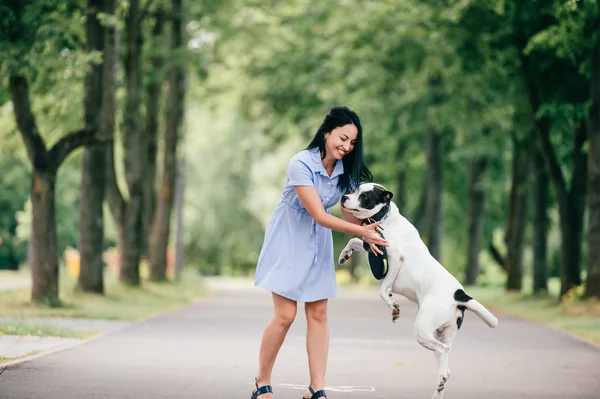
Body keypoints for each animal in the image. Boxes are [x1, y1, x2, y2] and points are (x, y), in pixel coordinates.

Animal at [338, 184, 496, 399]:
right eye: (355, 189)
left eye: (365, 196)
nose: (344, 197)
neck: (386, 218)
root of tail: (459, 294)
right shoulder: (372, 249)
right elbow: (354, 240)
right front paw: (344, 254)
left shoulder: (395, 260)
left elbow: (383, 290)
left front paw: (393, 306)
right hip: (439, 333)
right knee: (445, 366)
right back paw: (439, 387)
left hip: (423, 330)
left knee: (443, 350)